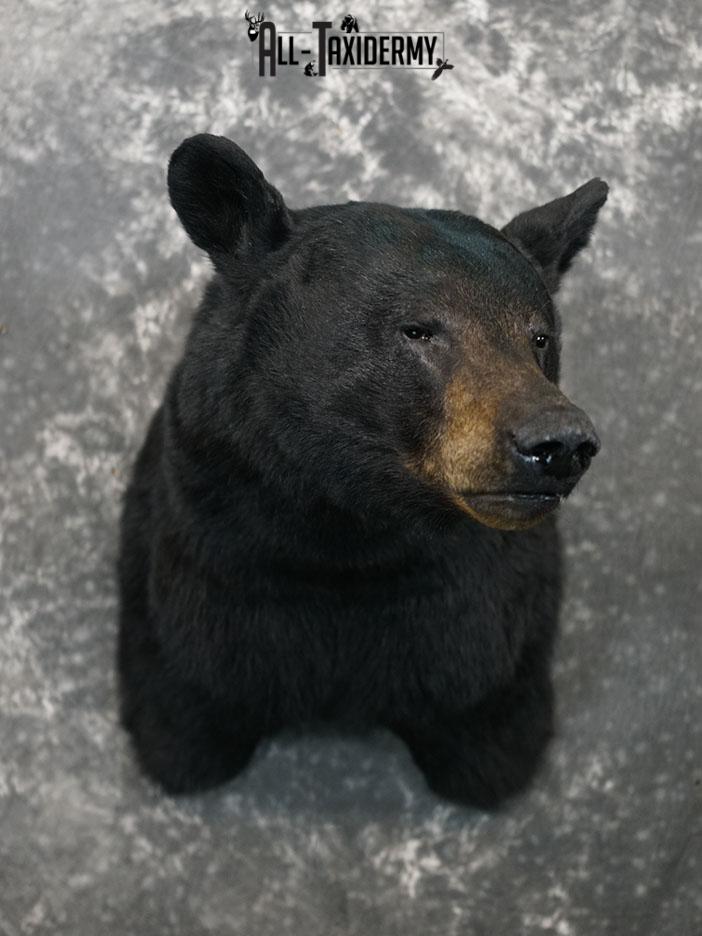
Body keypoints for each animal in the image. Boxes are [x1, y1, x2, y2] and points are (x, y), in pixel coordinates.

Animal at [117, 133, 607, 809]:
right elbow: (185, 709)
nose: (559, 442)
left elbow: (491, 724)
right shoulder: (206, 566)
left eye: (539, 337)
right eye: (418, 329)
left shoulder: (485, 611)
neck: (351, 531)